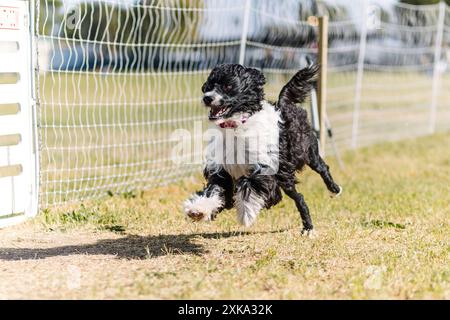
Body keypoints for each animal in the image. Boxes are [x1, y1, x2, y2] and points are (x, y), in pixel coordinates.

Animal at [183, 63, 342, 234]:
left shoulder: (264, 167)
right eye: (210, 85)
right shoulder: (222, 170)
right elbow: (215, 189)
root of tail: (283, 104)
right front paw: (198, 209)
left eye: (228, 86)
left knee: (320, 170)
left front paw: (246, 213)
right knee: (299, 196)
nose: (207, 98)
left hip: (305, 154)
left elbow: (249, 185)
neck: (237, 126)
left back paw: (331, 195)